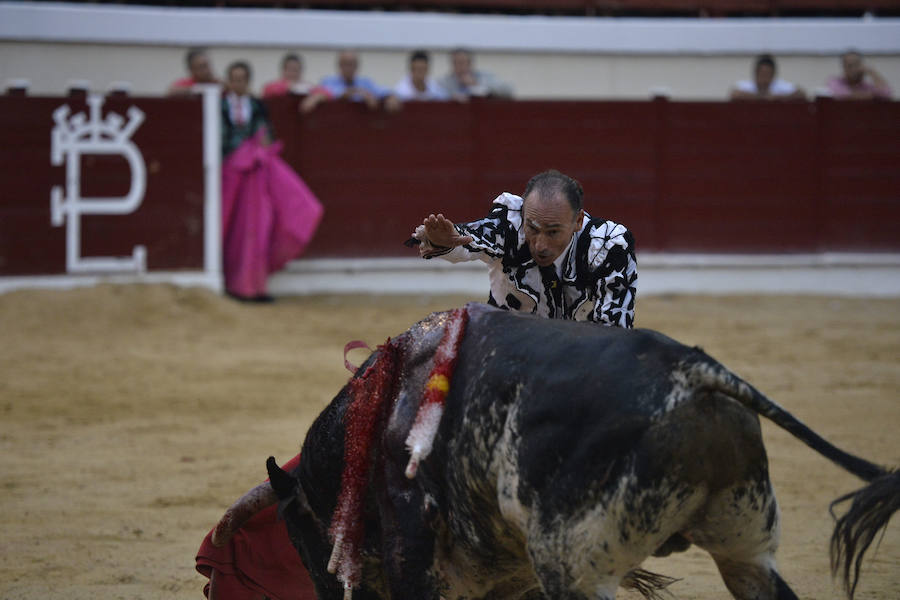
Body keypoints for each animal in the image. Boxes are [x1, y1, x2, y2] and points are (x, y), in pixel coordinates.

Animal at [209, 304, 892, 600]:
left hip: (576, 564)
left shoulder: (413, 545)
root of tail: (693, 373)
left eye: (298, 535)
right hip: (746, 547)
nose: (327, 594)